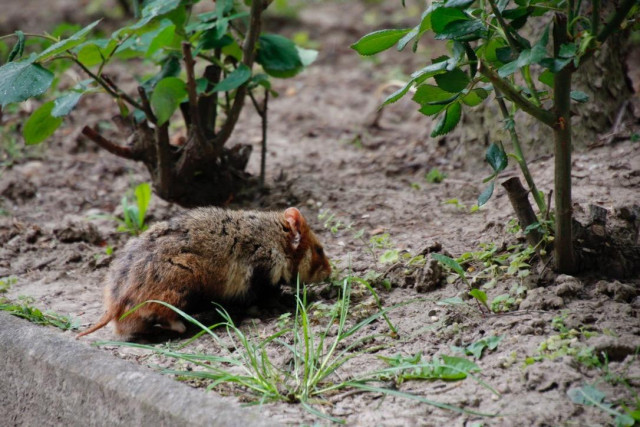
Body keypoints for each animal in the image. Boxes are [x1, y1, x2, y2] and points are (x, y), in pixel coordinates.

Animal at [76, 207, 331, 339]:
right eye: (319, 250)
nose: (330, 274)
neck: (273, 238)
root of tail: (115, 304)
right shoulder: (262, 275)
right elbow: (269, 298)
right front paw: (286, 304)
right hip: (182, 285)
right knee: (166, 317)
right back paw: (184, 326)